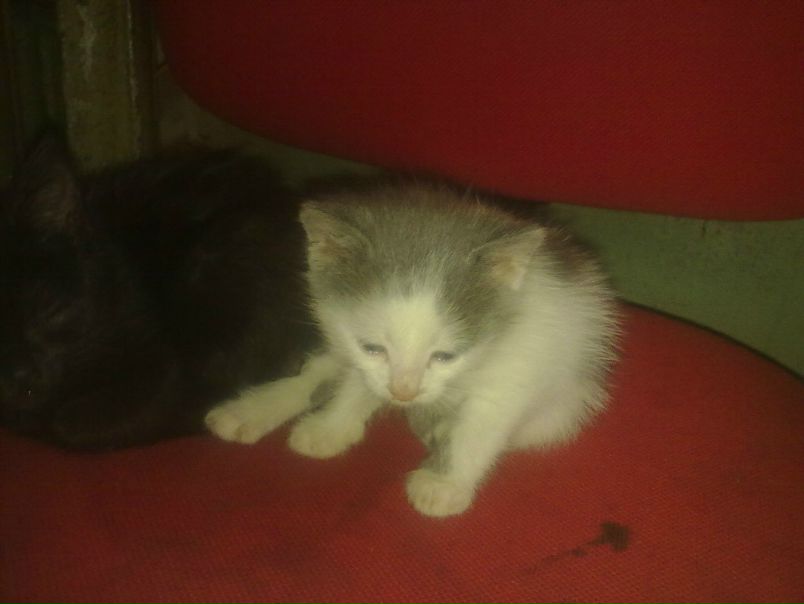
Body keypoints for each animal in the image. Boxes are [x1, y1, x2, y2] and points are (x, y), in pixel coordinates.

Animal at [206, 179, 620, 517]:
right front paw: (331, 427)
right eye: (373, 347)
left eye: (445, 356)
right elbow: (356, 381)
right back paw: (248, 410)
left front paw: (444, 485)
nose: (403, 392)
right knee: (318, 371)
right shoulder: (356, 351)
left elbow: (481, 425)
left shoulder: (519, 366)